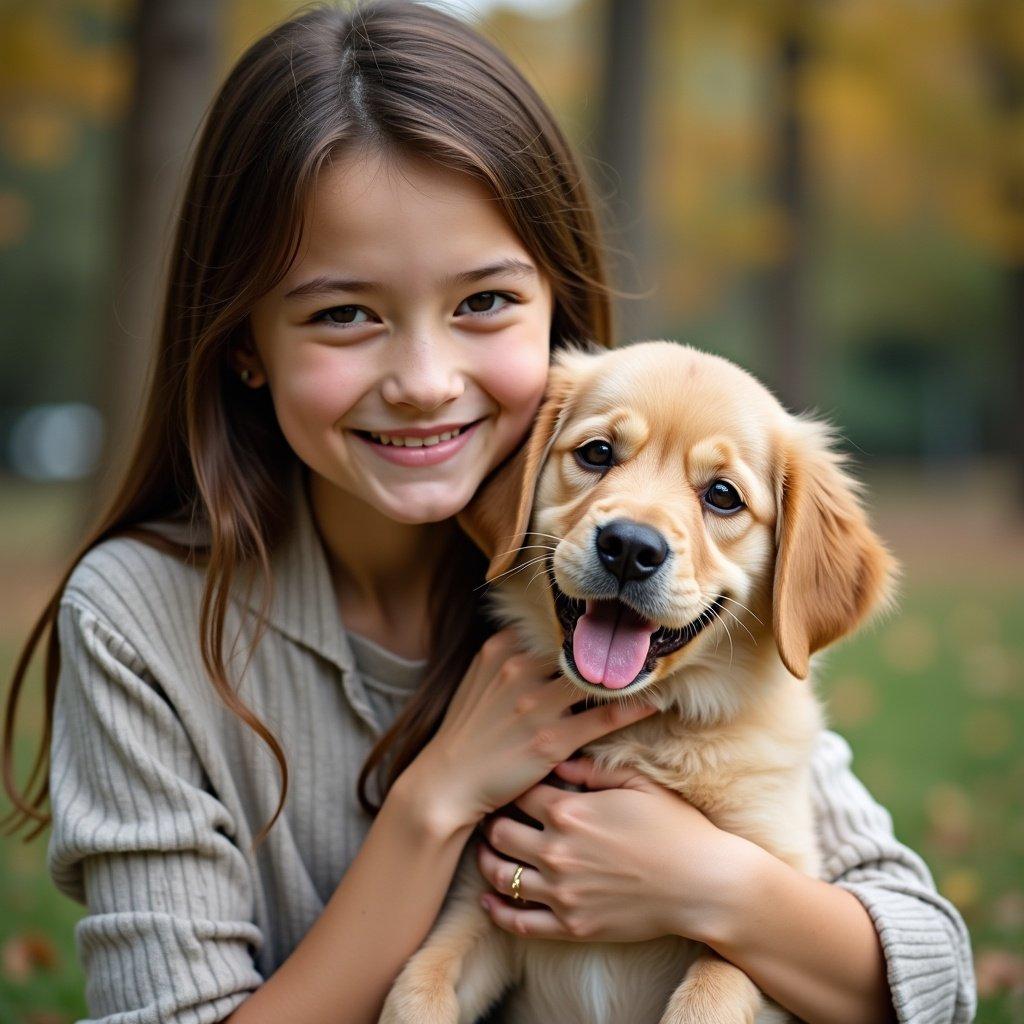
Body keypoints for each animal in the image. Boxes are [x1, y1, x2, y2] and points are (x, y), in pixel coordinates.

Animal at [378, 342, 897, 1024]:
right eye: (598, 453)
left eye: (723, 495)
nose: (629, 546)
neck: (647, 728)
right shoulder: (480, 900)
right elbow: (418, 985)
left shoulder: (766, 893)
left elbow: (710, 994)